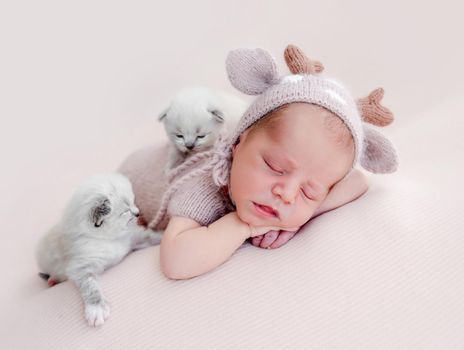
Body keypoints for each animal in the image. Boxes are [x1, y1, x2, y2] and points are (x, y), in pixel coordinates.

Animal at [35, 174, 161, 326]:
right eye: (126, 211)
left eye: (133, 202)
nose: (137, 213)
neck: (108, 239)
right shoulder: (80, 268)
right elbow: (91, 287)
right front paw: (96, 309)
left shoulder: (132, 240)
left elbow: (151, 237)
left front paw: (166, 235)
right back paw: (52, 280)